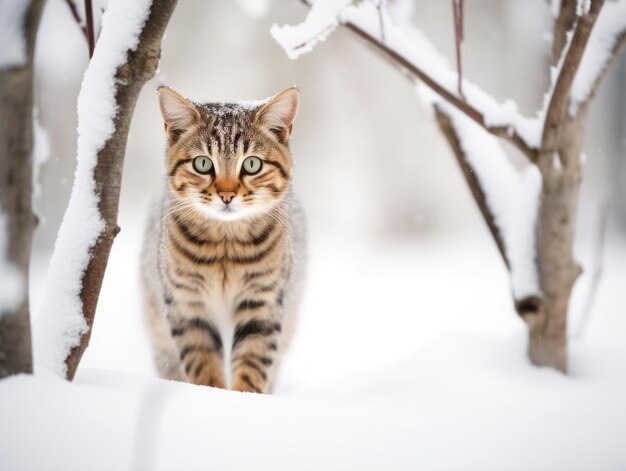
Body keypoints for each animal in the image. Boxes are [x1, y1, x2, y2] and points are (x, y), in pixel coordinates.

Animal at [142, 85, 308, 394]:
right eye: (202, 163)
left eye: (252, 164)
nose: (227, 195)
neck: (225, 248)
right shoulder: (188, 304)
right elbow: (202, 361)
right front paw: (212, 393)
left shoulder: (262, 301)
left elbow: (253, 360)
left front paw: (243, 396)